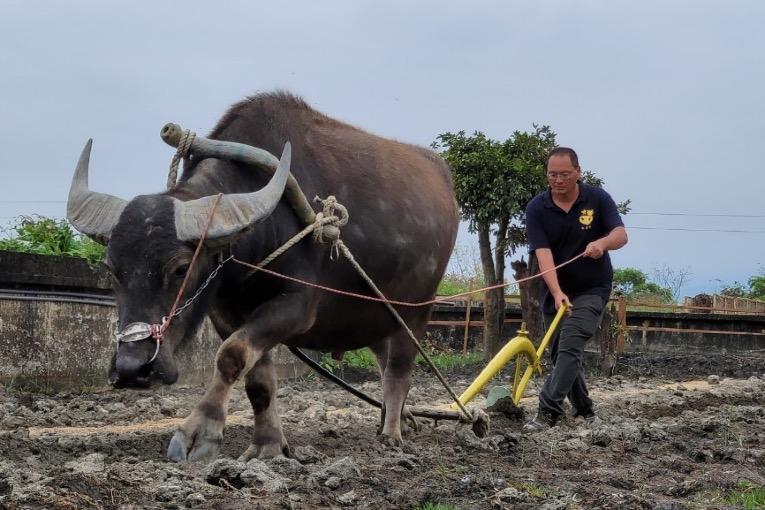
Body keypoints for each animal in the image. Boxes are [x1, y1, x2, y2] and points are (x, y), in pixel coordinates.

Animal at [65, 91, 456, 462]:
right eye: (111, 269)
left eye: (180, 268)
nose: (132, 369)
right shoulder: (227, 314)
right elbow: (259, 380)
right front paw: (268, 446)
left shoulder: (297, 307)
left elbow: (231, 355)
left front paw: (198, 433)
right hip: (376, 318)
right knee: (383, 360)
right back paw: (397, 419)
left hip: (415, 312)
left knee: (399, 370)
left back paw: (391, 435)